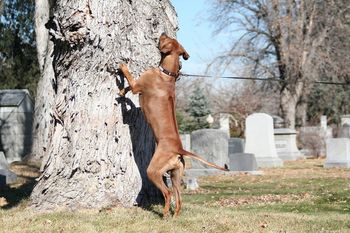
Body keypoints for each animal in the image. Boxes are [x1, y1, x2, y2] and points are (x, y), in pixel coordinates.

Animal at [119, 32, 228, 217]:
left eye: (167, 39)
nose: (162, 33)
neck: (168, 74)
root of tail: (179, 149)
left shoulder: (137, 86)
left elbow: (129, 80)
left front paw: (122, 67)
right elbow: (126, 90)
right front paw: (121, 91)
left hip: (153, 170)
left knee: (168, 193)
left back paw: (164, 215)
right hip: (176, 174)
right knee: (179, 197)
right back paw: (175, 215)